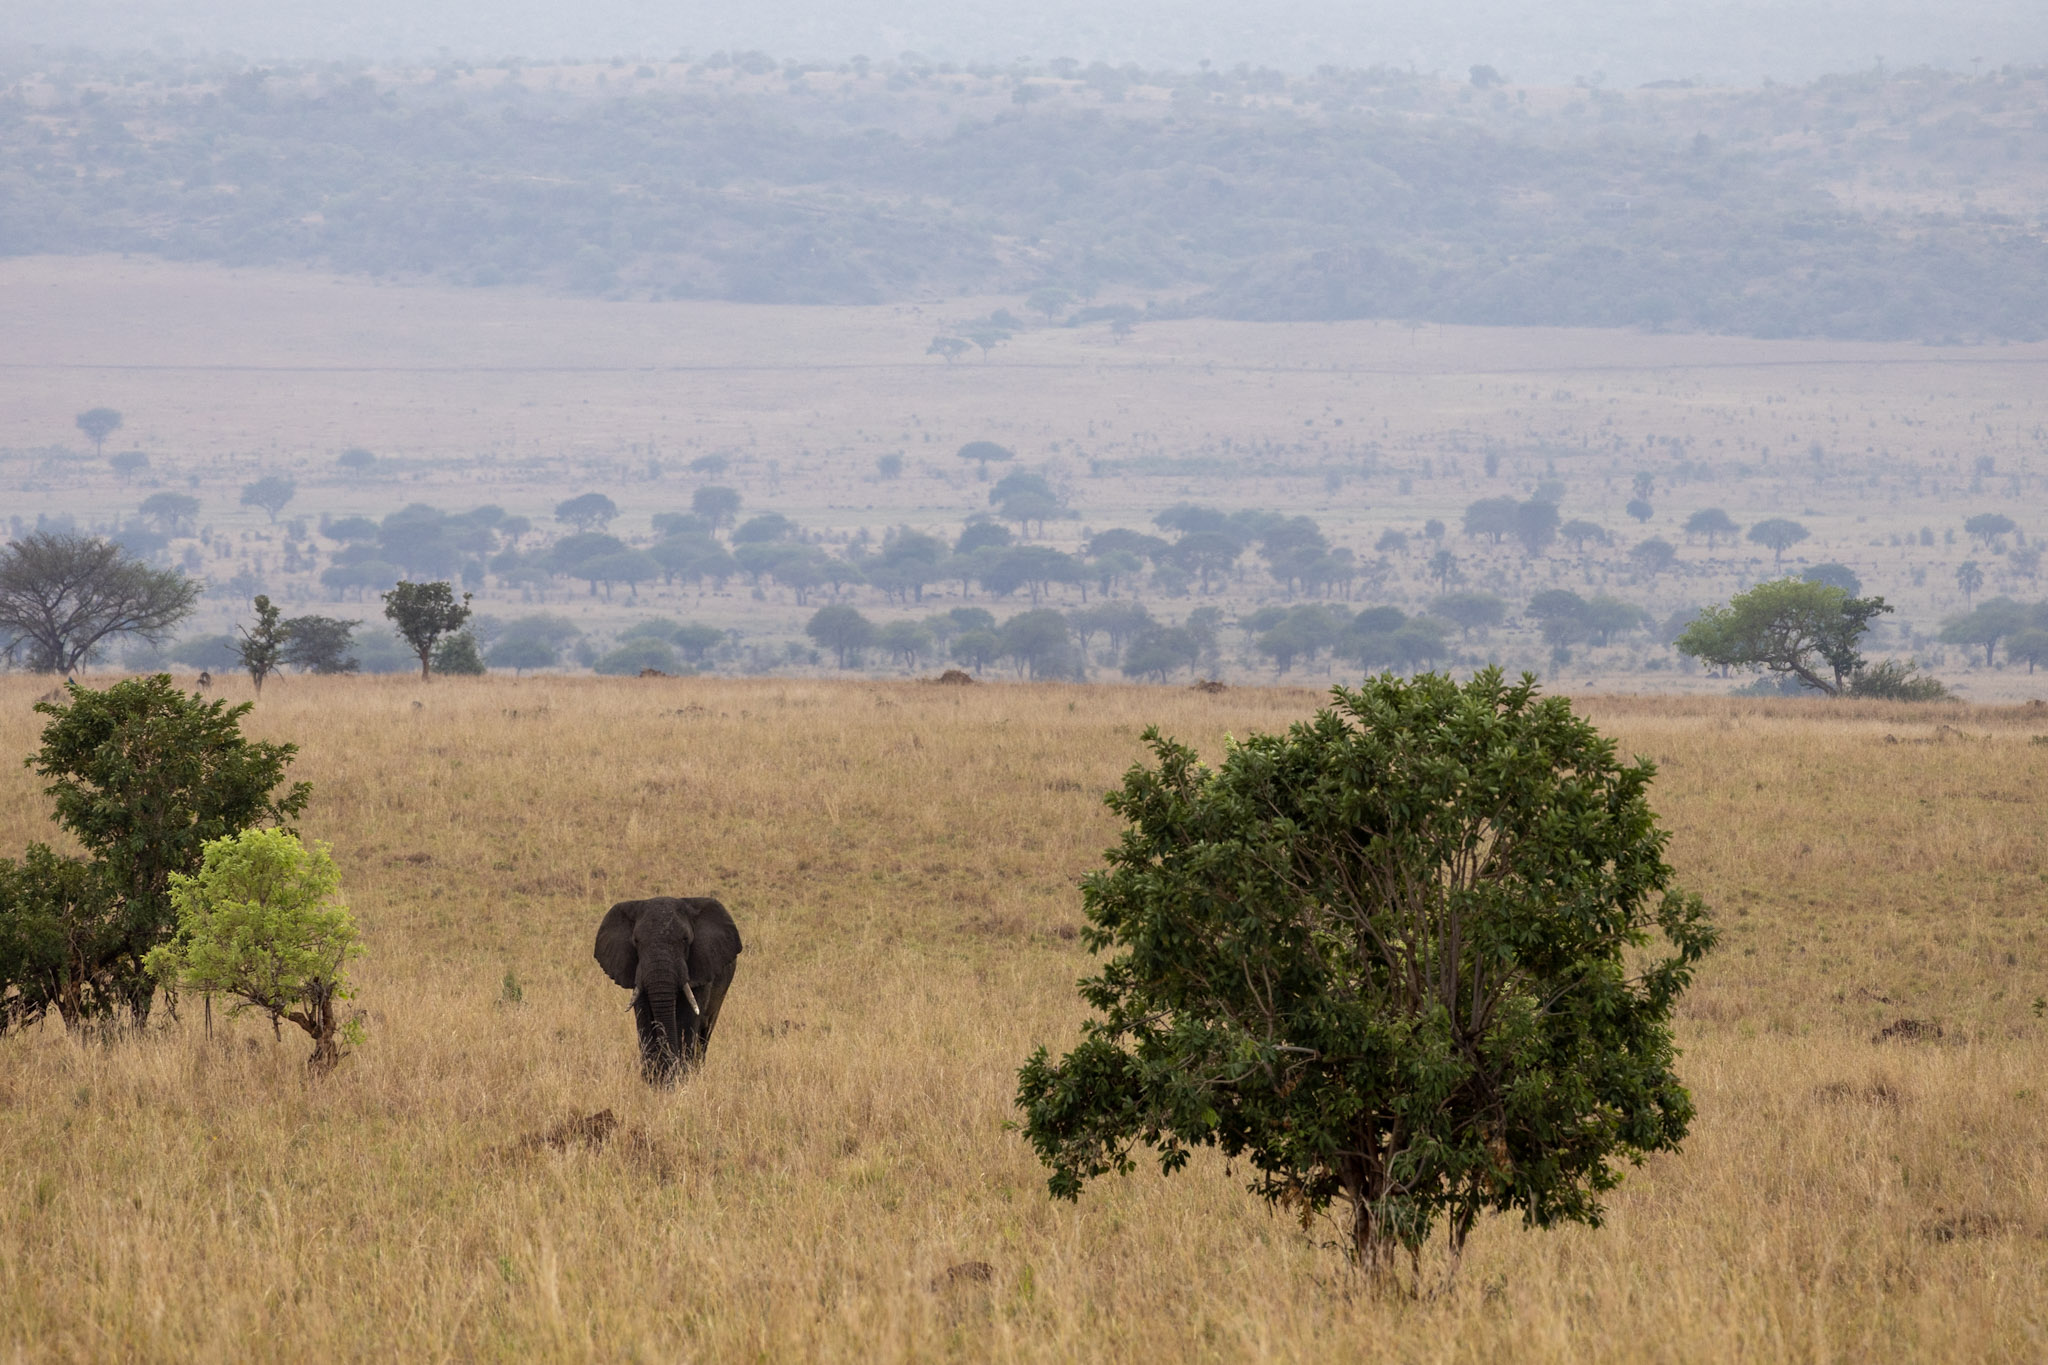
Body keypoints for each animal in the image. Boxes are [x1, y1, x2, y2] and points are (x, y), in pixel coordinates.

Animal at [593, 900, 745, 1080]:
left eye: (685, 939)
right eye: (636, 941)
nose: (667, 1072)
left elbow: (688, 1018)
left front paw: (680, 1078)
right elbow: (644, 1018)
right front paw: (652, 1079)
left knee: (705, 1031)